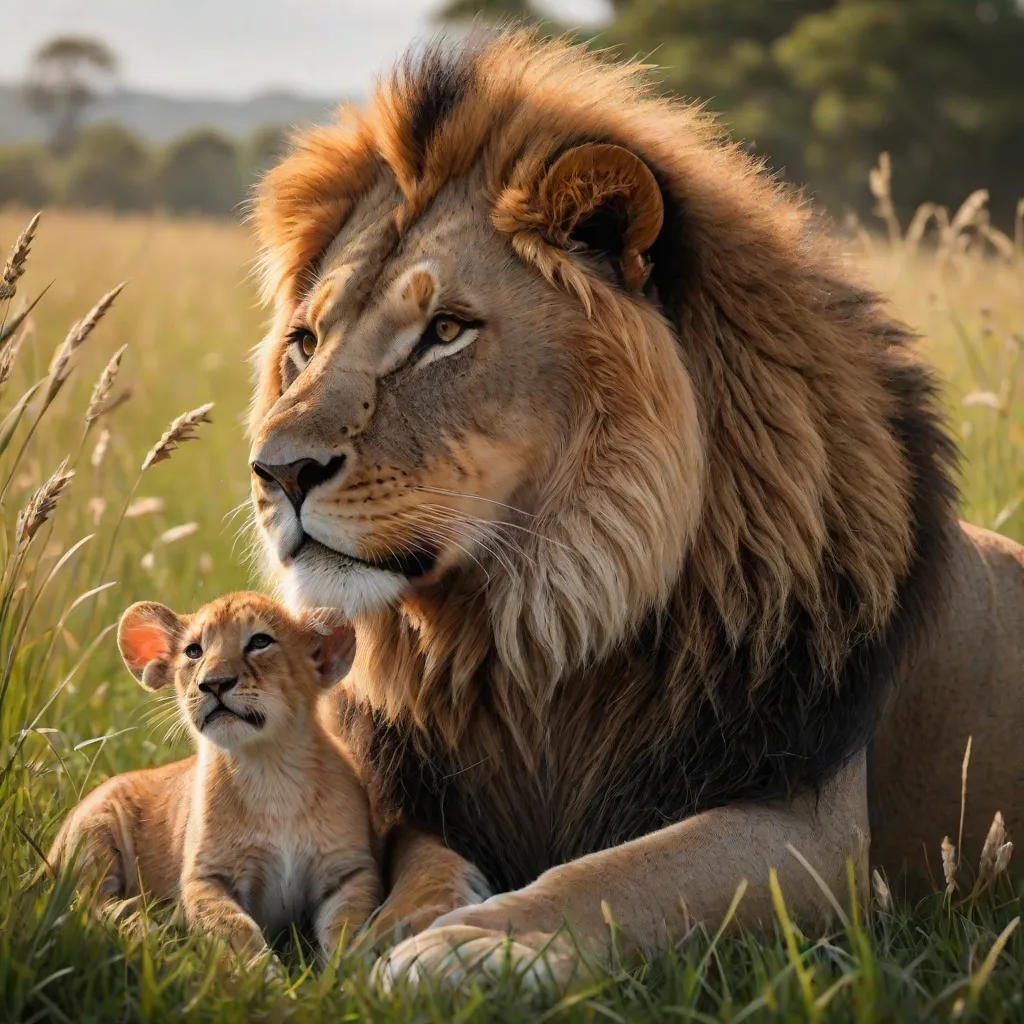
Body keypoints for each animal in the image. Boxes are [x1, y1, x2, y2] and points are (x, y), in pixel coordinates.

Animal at [50, 593, 380, 963]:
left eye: (260, 642)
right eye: (194, 651)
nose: (214, 683)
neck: (269, 770)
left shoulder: (350, 871)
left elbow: (347, 929)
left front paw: (349, 973)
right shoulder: (205, 879)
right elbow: (238, 932)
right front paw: (266, 977)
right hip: (94, 833)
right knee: (90, 906)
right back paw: (153, 934)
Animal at [247, 30, 1024, 980]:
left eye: (446, 332)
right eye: (305, 342)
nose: (275, 472)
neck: (541, 611)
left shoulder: (814, 836)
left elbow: (612, 876)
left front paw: (473, 947)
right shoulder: (440, 797)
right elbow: (430, 867)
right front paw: (395, 926)